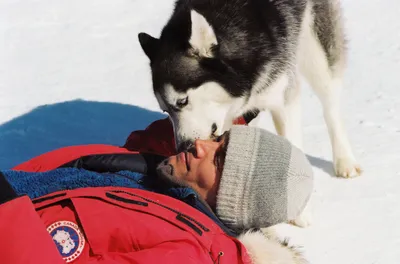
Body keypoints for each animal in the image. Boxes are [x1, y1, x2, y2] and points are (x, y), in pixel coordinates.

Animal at [138, 0, 362, 178]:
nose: (183, 147)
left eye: (182, 101)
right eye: (165, 110)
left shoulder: (283, 98)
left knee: (330, 105)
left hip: (316, 52)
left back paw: (345, 160)